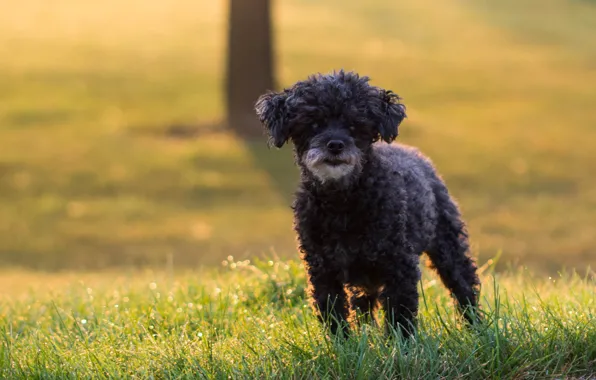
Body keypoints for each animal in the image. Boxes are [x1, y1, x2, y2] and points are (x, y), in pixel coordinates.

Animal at [254, 70, 482, 336]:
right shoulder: (322, 269)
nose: (335, 145)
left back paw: (475, 326)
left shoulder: (399, 265)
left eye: (355, 125)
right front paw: (342, 343)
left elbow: (400, 314)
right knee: (362, 304)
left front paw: (402, 343)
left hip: (447, 246)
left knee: (463, 284)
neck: (342, 203)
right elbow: (333, 311)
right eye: (313, 124)